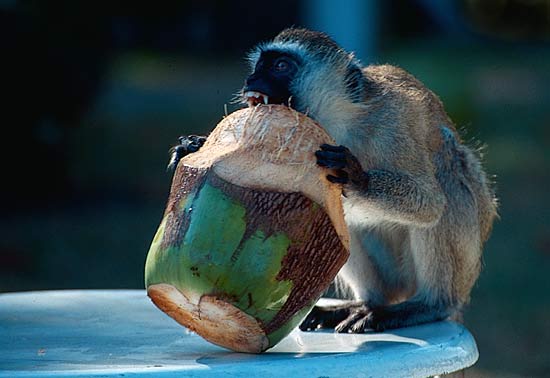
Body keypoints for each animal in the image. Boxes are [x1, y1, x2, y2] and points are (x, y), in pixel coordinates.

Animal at [170, 28, 498, 332]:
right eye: (259, 65)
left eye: (280, 66)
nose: (252, 80)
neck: (343, 123)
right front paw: (197, 146)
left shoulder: (393, 127)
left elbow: (430, 204)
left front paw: (357, 178)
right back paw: (366, 304)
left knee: (447, 167)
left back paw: (430, 305)